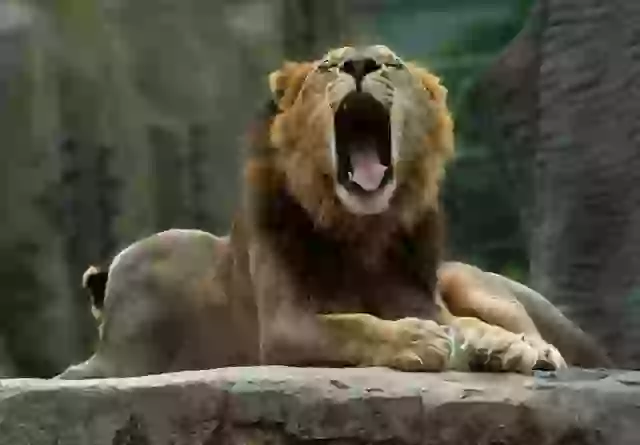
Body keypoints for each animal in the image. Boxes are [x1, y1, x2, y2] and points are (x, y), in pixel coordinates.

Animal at [56, 45, 611, 379]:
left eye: (391, 64)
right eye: (328, 65)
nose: (360, 65)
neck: (361, 232)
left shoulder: (425, 296)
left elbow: (464, 324)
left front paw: (501, 346)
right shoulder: (282, 326)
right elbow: (349, 323)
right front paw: (417, 339)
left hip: (472, 281)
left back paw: (537, 349)